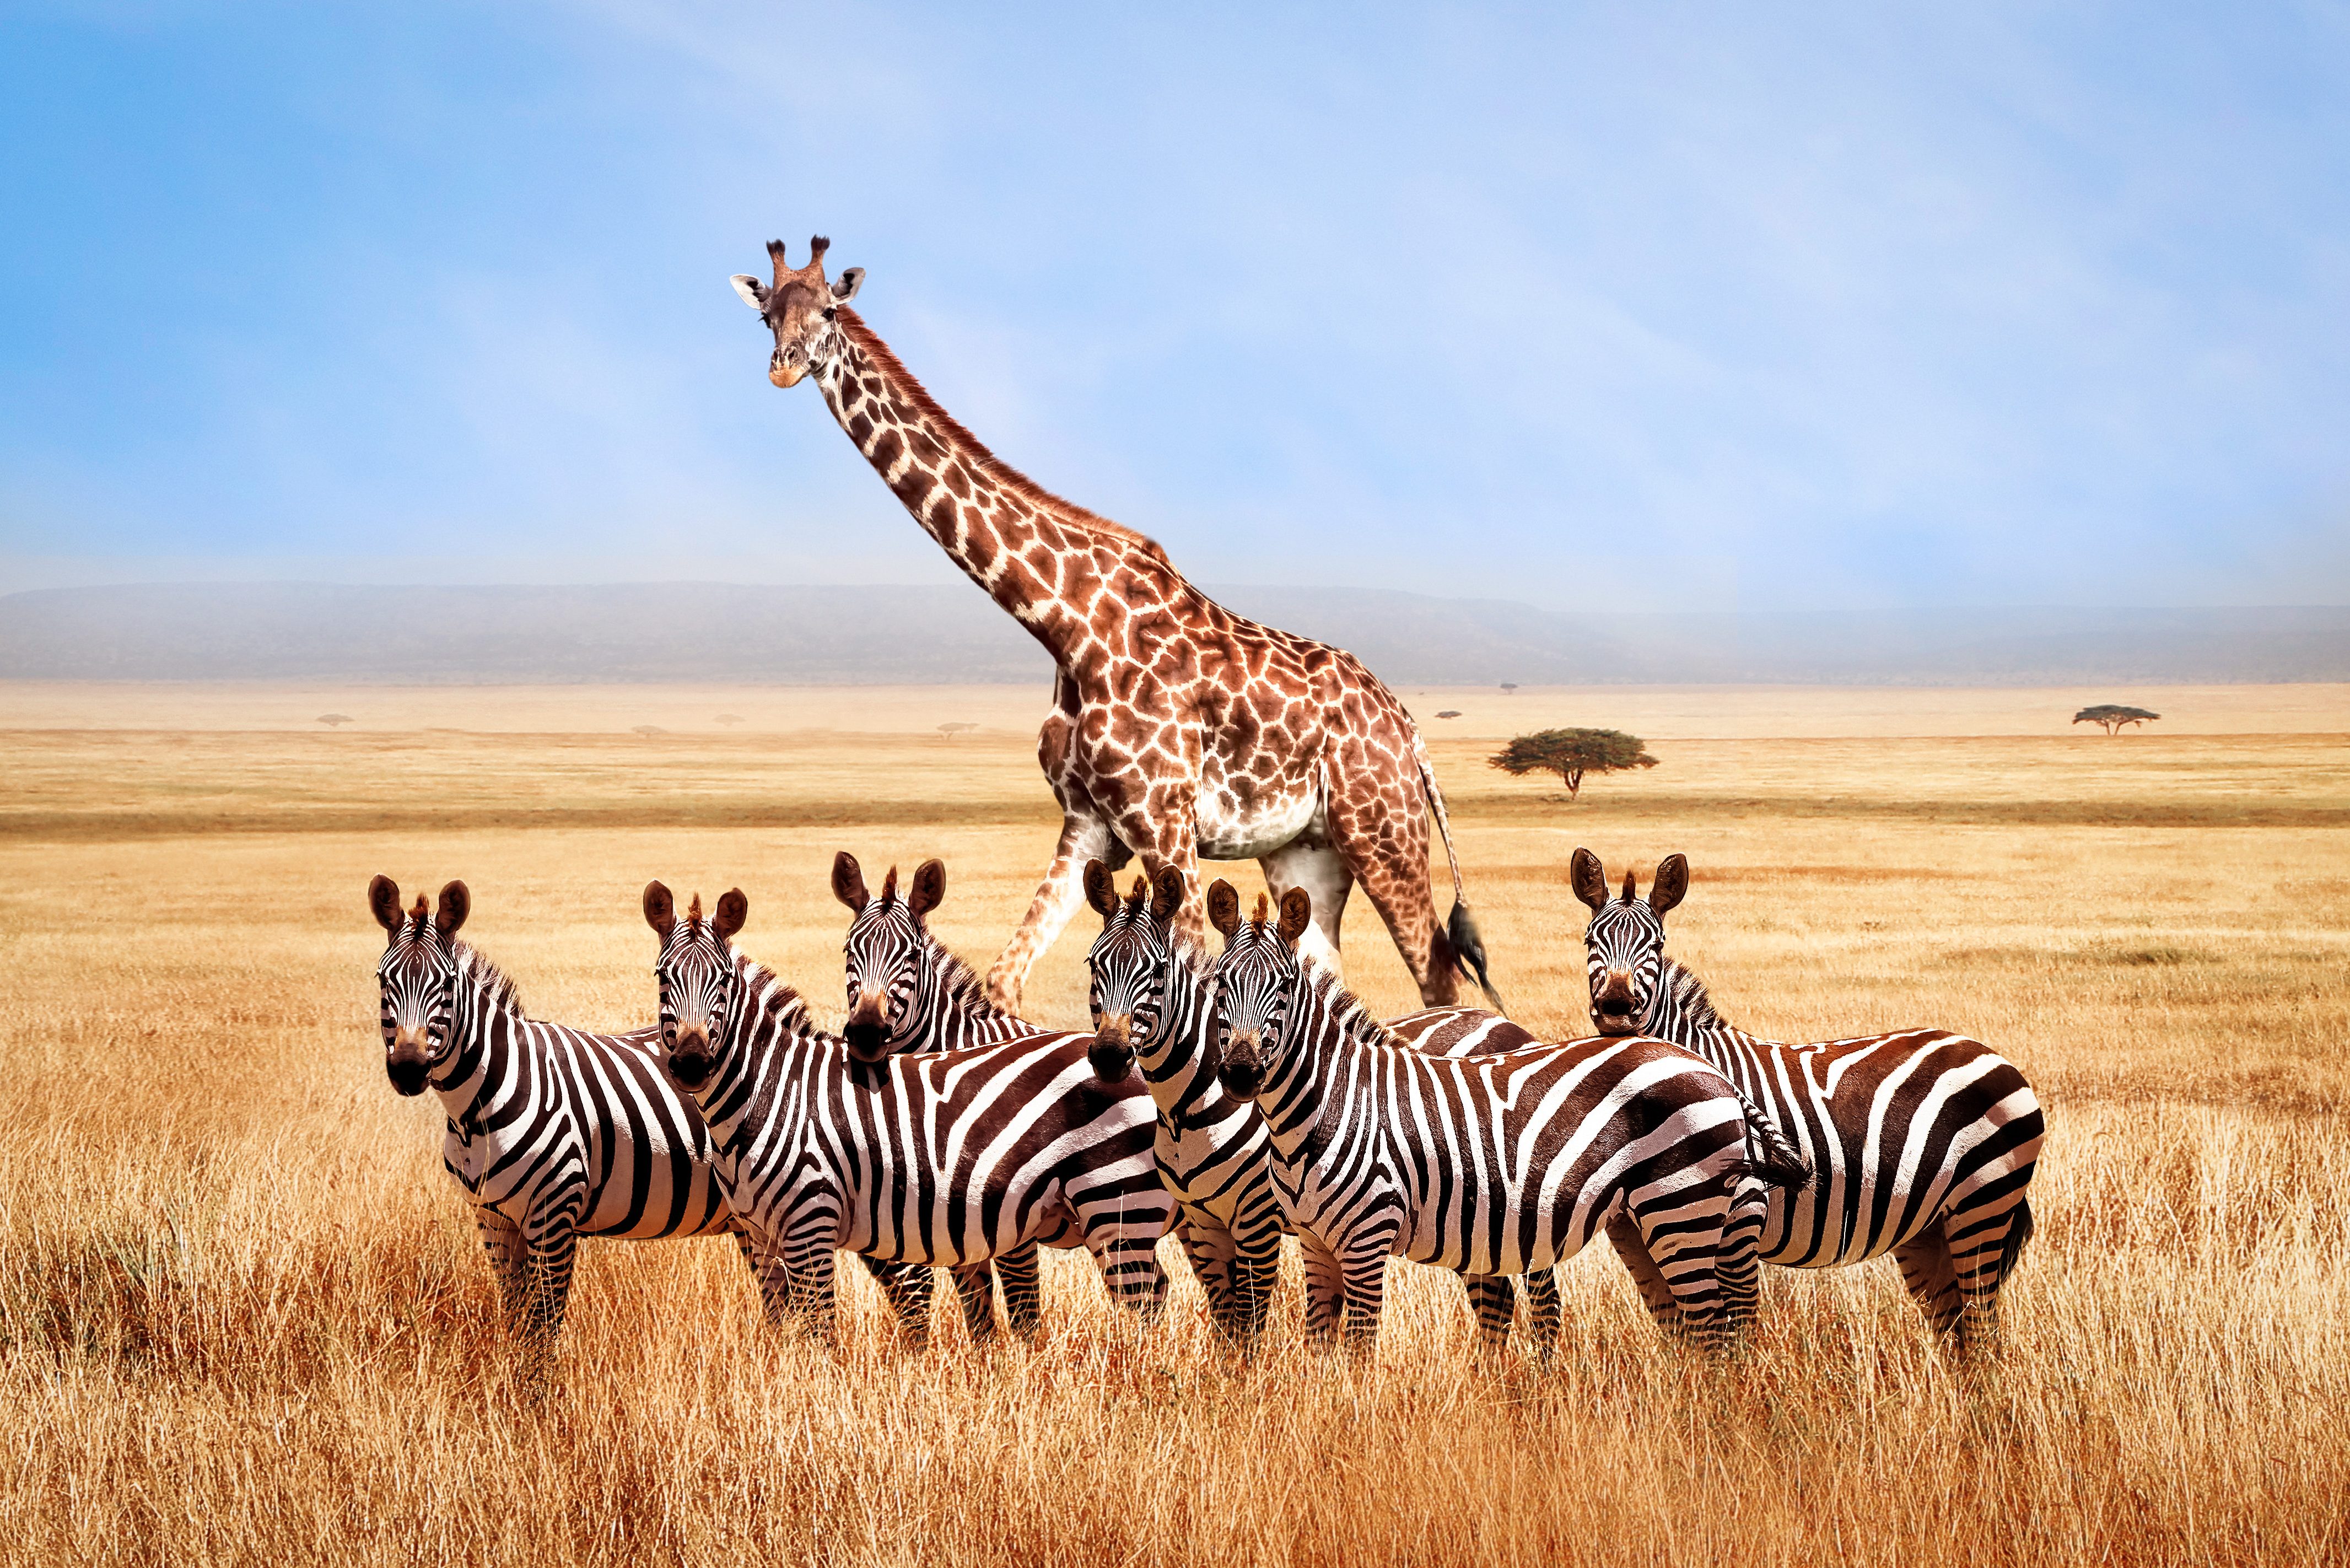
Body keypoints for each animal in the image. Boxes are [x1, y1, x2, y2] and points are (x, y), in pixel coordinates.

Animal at [365, 875, 873, 1374]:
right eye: (383, 979)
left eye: (447, 985)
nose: (409, 1070)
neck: (478, 1106)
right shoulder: (492, 1219)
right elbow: (518, 1321)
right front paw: (515, 1388)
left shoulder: (554, 1213)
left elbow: (544, 1325)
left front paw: (541, 1395)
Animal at [642, 880, 1176, 1339]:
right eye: (663, 977)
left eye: (723, 981)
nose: (690, 1064)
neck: (770, 1091)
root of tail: (1134, 1063)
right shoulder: (762, 1235)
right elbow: (784, 1329)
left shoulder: (812, 1221)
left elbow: (821, 1331)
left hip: (1117, 1202)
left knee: (1145, 1299)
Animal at [1208, 879, 1811, 1349]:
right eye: (1219, 984)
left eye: (1285, 988)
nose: (1238, 1074)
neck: (1325, 1104)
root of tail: (1712, 1070)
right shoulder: (1314, 1243)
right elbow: (1320, 1349)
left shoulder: (1366, 1237)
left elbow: (1357, 1350)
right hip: (1651, 1219)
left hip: (1683, 1208)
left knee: (1713, 1332)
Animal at [1571, 849, 2045, 1353]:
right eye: (1589, 939)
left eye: (1657, 946)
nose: (1616, 1007)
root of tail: (1990, 1052)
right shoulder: (1633, 1234)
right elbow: (1679, 1336)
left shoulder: (1741, 1218)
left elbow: (1734, 1332)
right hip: (1929, 1224)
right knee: (1959, 1331)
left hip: (1983, 1204)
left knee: (1982, 1326)